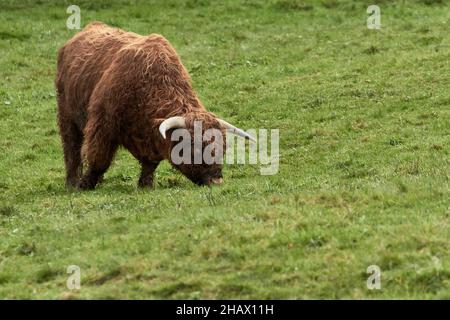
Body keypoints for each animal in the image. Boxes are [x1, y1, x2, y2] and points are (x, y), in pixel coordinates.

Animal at [55, 21, 253, 190]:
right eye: (195, 147)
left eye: (223, 148)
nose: (216, 180)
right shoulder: (102, 125)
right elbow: (98, 159)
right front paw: (85, 184)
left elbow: (150, 163)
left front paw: (146, 184)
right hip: (67, 115)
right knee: (71, 149)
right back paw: (72, 182)